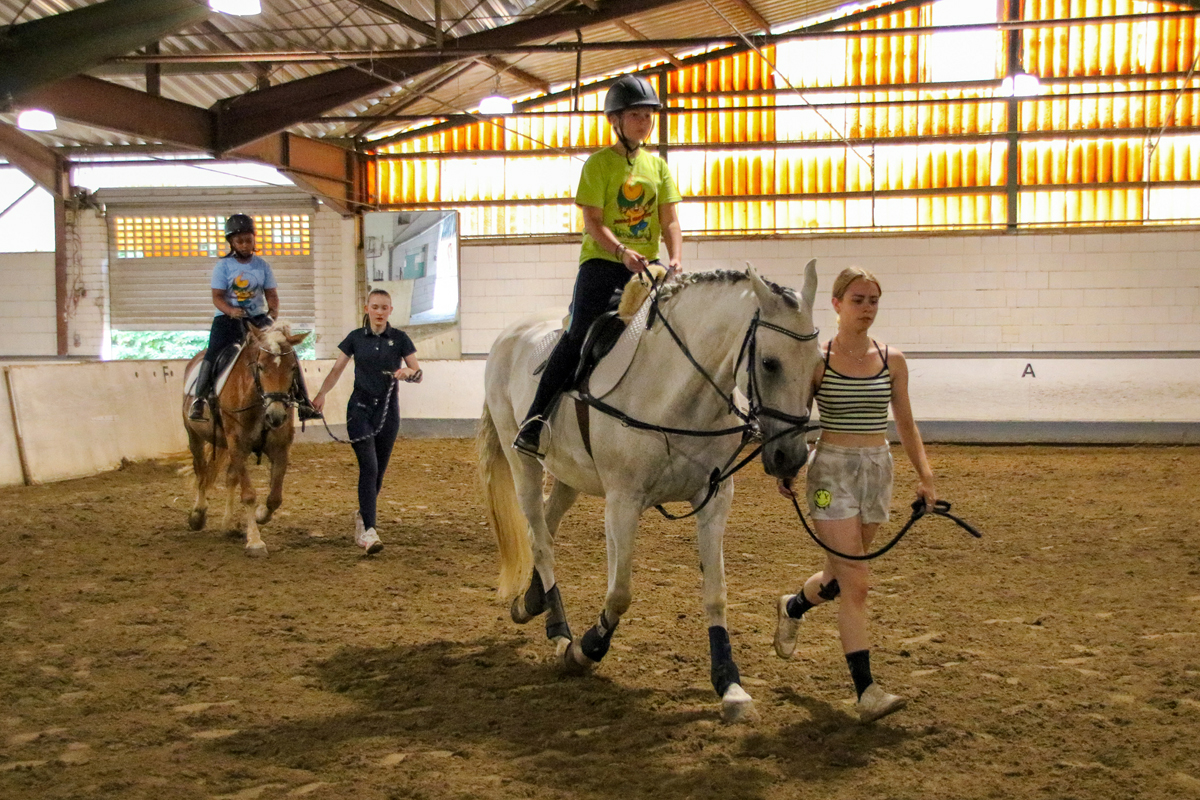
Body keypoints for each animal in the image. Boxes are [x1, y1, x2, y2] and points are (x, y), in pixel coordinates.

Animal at [180, 319, 309, 556]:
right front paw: (255, 541)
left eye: (293, 368)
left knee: (230, 477)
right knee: (201, 471)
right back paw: (198, 514)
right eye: (261, 366)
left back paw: (228, 524)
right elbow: (248, 494)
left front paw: (259, 516)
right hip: (195, 436)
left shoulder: (279, 449)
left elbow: (274, 498)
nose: (276, 416)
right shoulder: (237, 445)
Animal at [477, 261, 825, 719]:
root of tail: (509, 333)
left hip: (569, 474)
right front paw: (586, 649)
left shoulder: (716, 500)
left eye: (819, 364)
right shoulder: (623, 502)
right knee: (539, 539)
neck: (677, 393)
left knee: (548, 526)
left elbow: (716, 594)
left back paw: (532, 602)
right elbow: (620, 592)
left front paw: (729, 684)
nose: (790, 457)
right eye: (769, 363)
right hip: (524, 462)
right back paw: (559, 630)